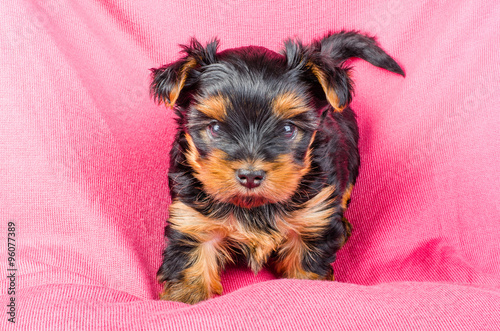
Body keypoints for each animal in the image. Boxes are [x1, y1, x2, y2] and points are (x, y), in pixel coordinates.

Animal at [150, 30, 404, 304]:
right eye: (215, 128)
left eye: (287, 129)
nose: (250, 175)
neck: (253, 207)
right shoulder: (192, 220)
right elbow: (190, 266)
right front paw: (183, 301)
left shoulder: (312, 218)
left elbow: (305, 267)